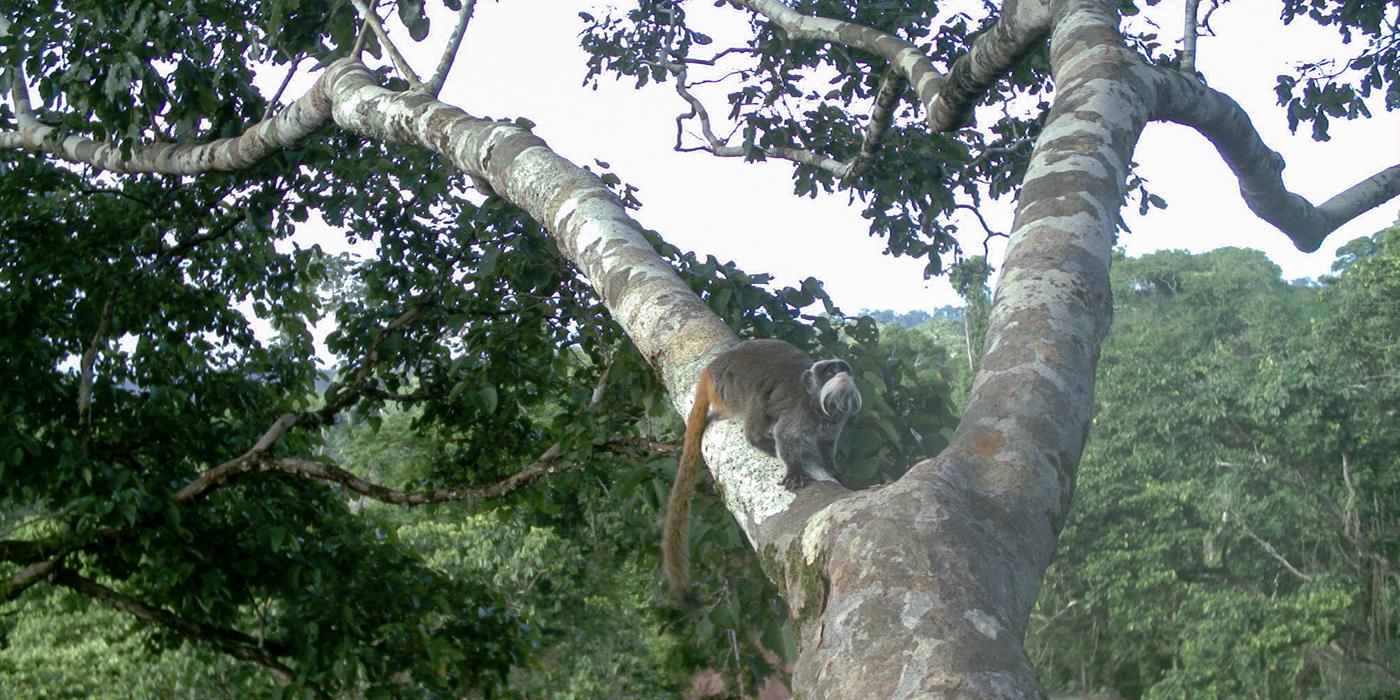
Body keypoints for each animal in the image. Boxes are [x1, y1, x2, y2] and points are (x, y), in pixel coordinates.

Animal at [662, 339, 862, 598]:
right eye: (830, 372)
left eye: (843, 369)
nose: (841, 375)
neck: (818, 406)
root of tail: (710, 368)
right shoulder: (799, 412)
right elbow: (785, 436)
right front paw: (794, 471)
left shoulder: (836, 419)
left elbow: (826, 444)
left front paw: (834, 470)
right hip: (729, 385)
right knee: (759, 395)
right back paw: (757, 438)